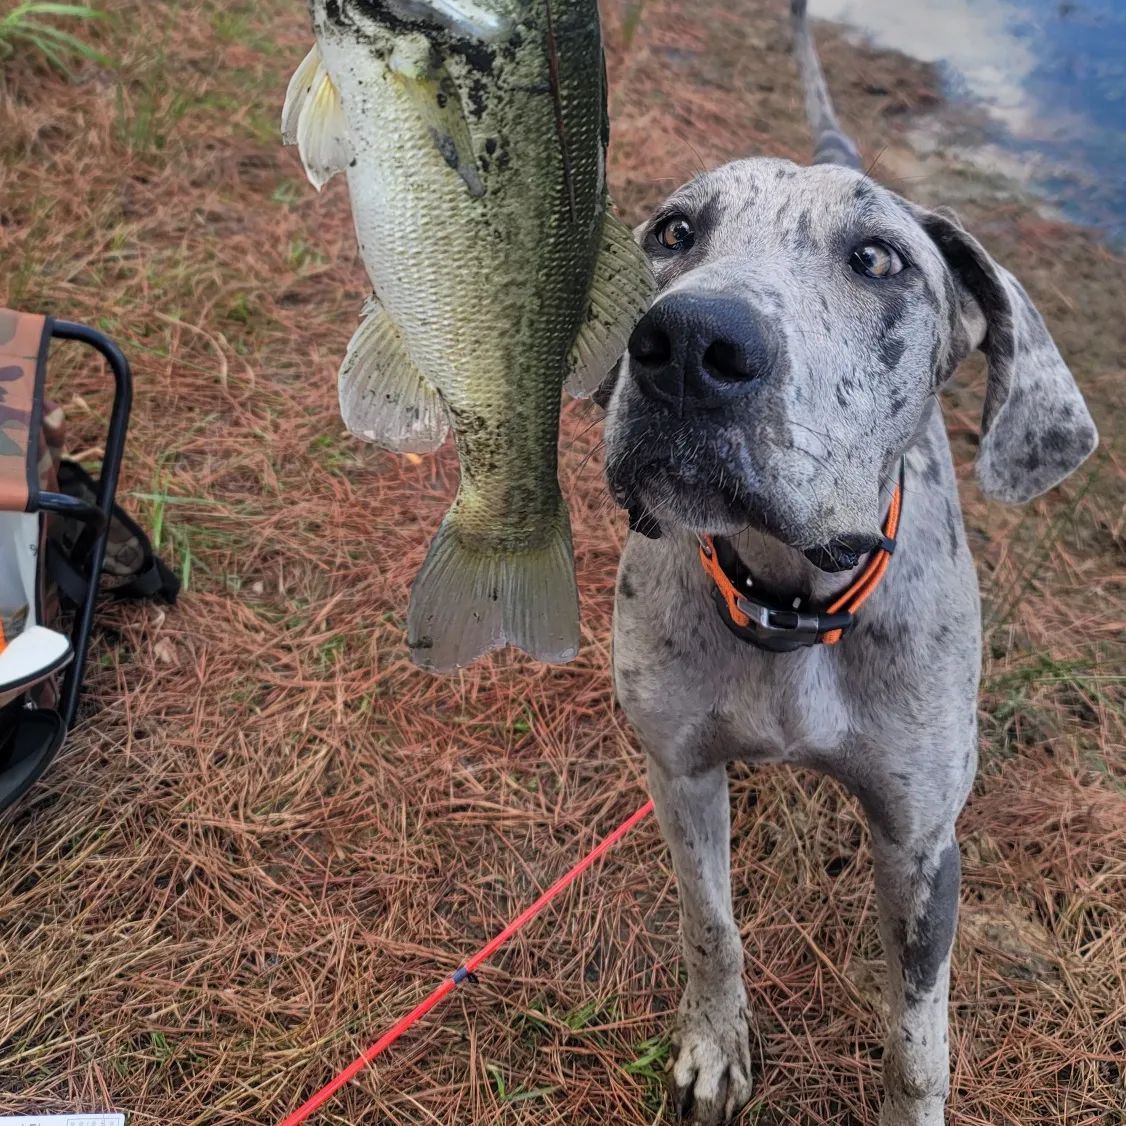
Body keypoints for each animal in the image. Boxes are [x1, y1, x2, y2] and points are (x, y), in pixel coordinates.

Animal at [603, 4, 1094, 1121]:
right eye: (676, 232)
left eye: (877, 260)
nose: (686, 344)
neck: (791, 600)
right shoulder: (679, 771)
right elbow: (709, 925)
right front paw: (715, 1048)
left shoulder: (919, 845)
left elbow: (918, 1038)